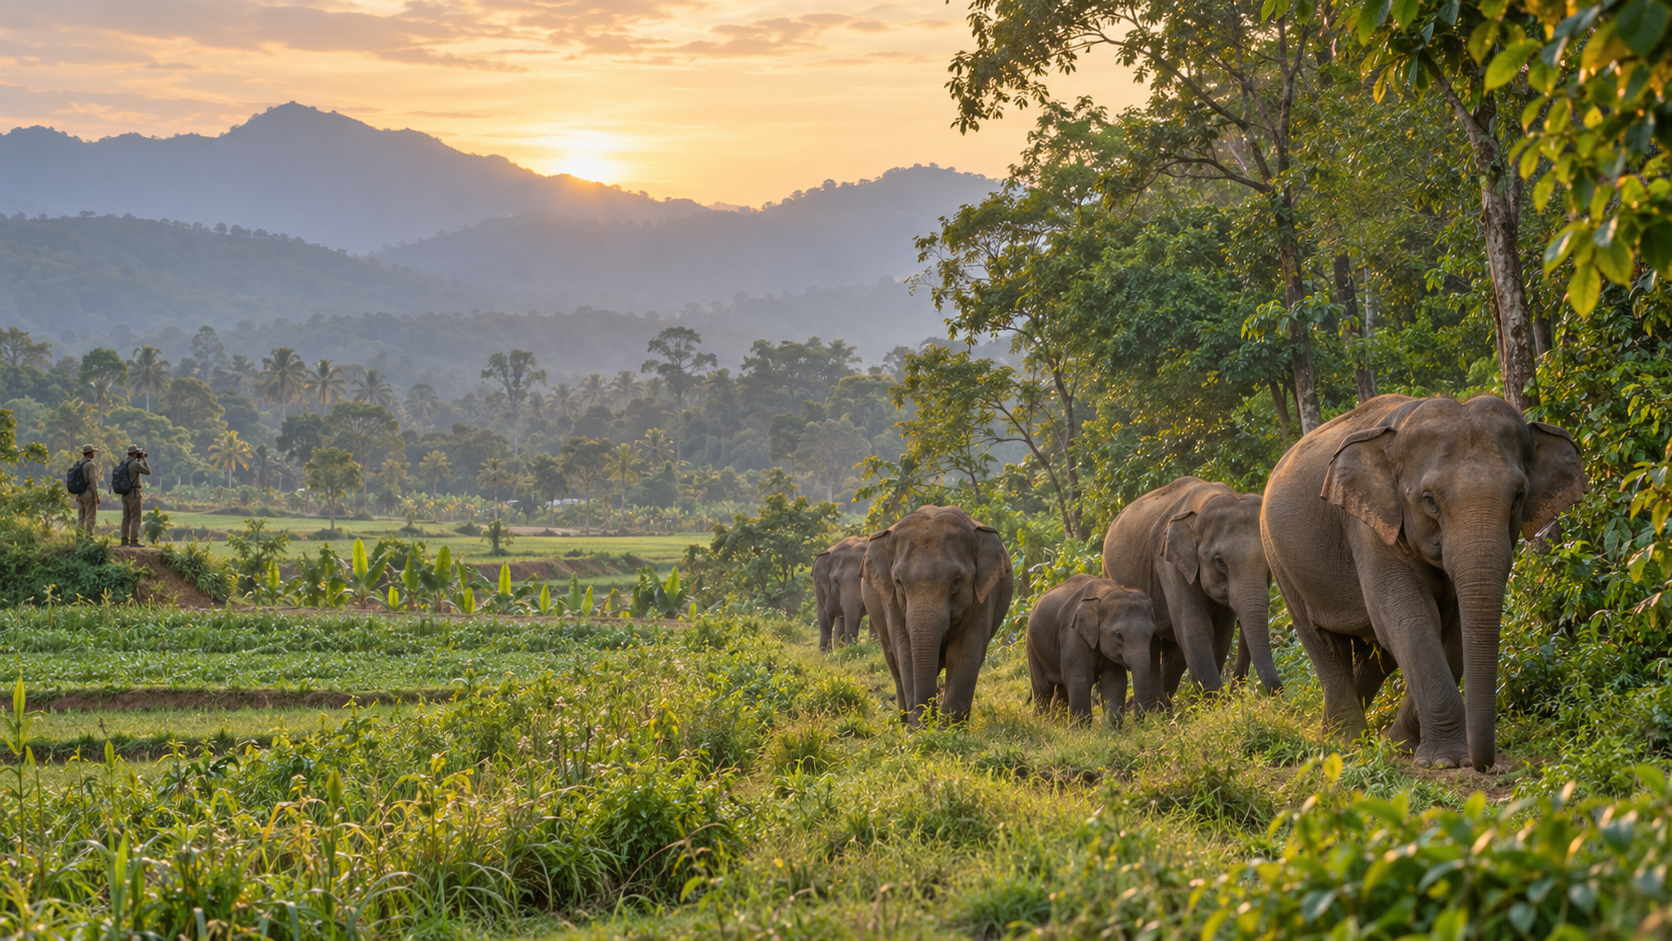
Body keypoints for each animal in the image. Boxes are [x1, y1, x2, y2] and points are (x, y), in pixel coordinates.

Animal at [861, 505, 1013, 727]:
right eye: (898, 581)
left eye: (957, 581)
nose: (925, 723)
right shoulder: (890, 601)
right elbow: (906, 654)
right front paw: (922, 728)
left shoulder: (984, 596)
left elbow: (963, 654)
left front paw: (948, 729)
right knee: (894, 665)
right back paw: (905, 723)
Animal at [1025, 573, 1156, 725]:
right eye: (1118, 635)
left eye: (1152, 633)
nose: (1139, 721)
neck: (1104, 594)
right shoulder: (1072, 635)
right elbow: (1081, 680)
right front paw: (1081, 729)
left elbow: (1114, 681)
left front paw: (1111, 728)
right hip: (1032, 646)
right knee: (1043, 688)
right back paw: (1042, 722)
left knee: (1061, 690)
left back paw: (1059, 723)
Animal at [1101, 476, 1282, 706]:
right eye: (1219, 561)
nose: (1237, 693)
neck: (1207, 500)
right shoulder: (1169, 564)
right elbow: (1195, 626)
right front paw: (1214, 704)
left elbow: (1222, 633)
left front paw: (1213, 703)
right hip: (1111, 575)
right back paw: (1154, 710)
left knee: (1174, 653)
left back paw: (1163, 708)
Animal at [1261, 394, 1586, 771]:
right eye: (1429, 501)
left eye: (1519, 496)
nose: (1483, 765)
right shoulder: (1369, 527)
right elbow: (1409, 619)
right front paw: (1445, 761)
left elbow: (1452, 631)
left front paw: (1401, 747)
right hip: (1280, 562)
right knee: (1325, 644)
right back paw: (1346, 743)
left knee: (1376, 656)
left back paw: (1339, 735)